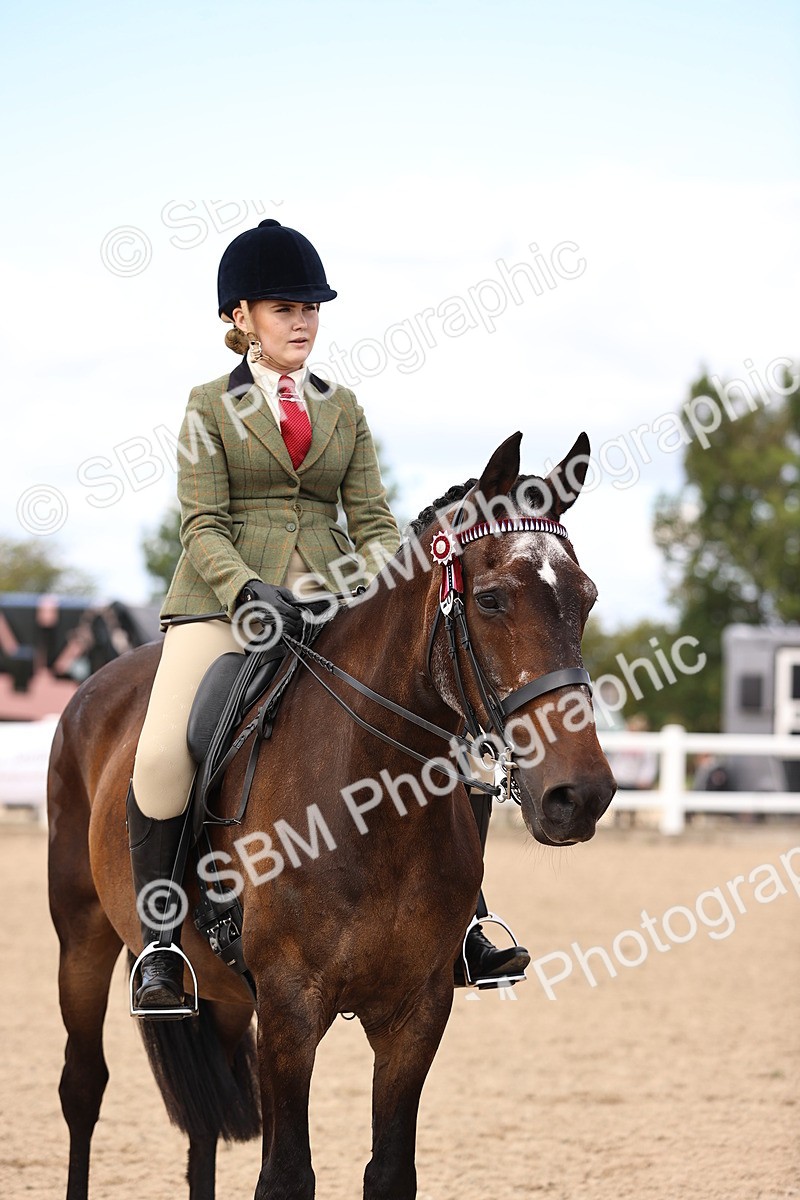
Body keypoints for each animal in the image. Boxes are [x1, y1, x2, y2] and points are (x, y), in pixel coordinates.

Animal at [48, 430, 616, 1200]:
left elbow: (390, 1169)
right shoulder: (291, 1010)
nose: (580, 796)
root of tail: (94, 689)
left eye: (586, 599)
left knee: (204, 1124)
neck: (371, 809)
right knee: (83, 1088)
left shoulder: (416, 1013)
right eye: (492, 598)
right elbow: (287, 1173)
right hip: (81, 939)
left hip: (225, 996)